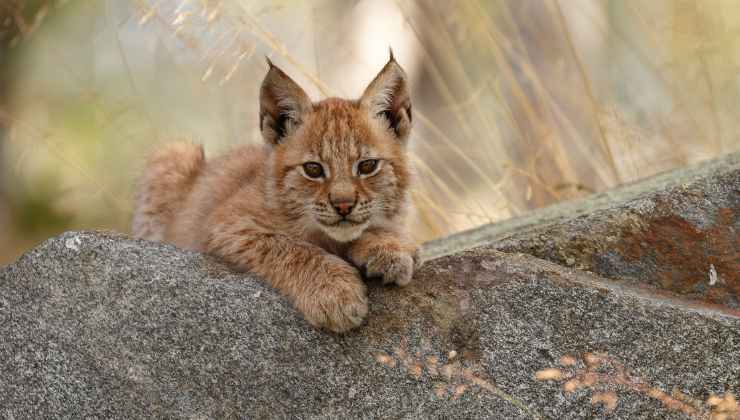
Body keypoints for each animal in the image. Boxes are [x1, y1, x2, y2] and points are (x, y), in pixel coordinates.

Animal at [132, 54, 422, 334]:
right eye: (313, 169)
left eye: (367, 166)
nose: (343, 206)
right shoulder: (227, 223)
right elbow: (291, 247)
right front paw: (334, 292)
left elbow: (383, 228)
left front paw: (390, 248)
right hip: (173, 152)